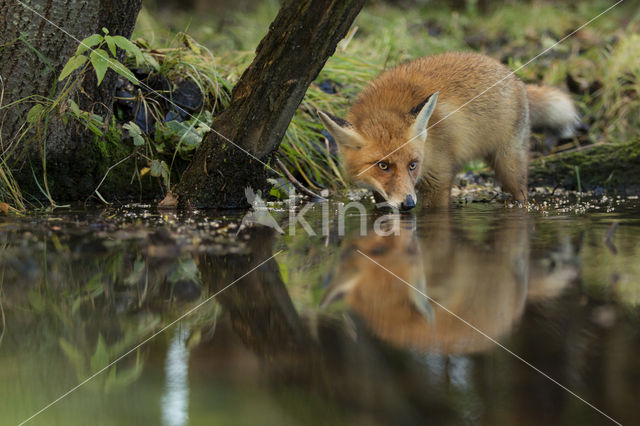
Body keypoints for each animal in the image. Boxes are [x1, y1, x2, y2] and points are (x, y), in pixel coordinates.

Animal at [318, 52, 580, 209]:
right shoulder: (382, 194)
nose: (408, 204)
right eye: (383, 166)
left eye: (412, 165)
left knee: (522, 194)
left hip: (509, 167)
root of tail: (515, 77)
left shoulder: (439, 180)